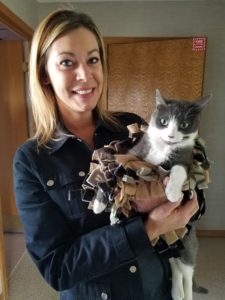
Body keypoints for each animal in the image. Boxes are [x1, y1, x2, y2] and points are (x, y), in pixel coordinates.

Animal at [129, 90, 212, 300]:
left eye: (184, 125)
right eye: (164, 121)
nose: (171, 135)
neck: (165, 148)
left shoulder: (186, 158)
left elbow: (179, 170)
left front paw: (173, 192)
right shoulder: (139, 150)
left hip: (187, 240)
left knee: (187, 271)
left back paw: (186, 292)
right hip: (172, 242)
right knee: (175, 264)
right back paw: (176, 291)